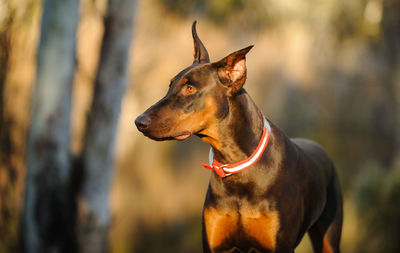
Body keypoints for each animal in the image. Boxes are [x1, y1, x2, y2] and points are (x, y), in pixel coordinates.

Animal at [136, 21, 342, 253]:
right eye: (170, 84)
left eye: (190, 88)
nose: (139, 122)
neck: (235, 165)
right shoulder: (214, 244)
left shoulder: (279, 246)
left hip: (329, 236)